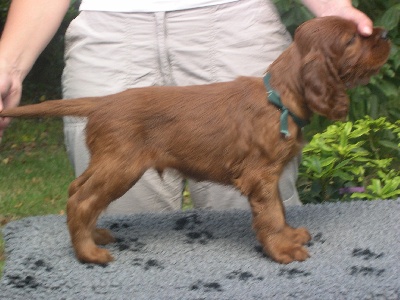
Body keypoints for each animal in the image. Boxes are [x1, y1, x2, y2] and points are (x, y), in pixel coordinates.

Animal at [0, 17, 390, 264]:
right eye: (352, 39)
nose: (385, 33)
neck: (279, 97)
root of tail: (104, 101)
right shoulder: (260, 175)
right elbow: (270, 216)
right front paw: (282, 250)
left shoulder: (270, 175)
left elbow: (279, 209)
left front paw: (289, 236)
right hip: (122, 166)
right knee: (81, 201)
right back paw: (88, 254)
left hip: (108, 163)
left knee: (77, 192)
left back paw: (93, 236)